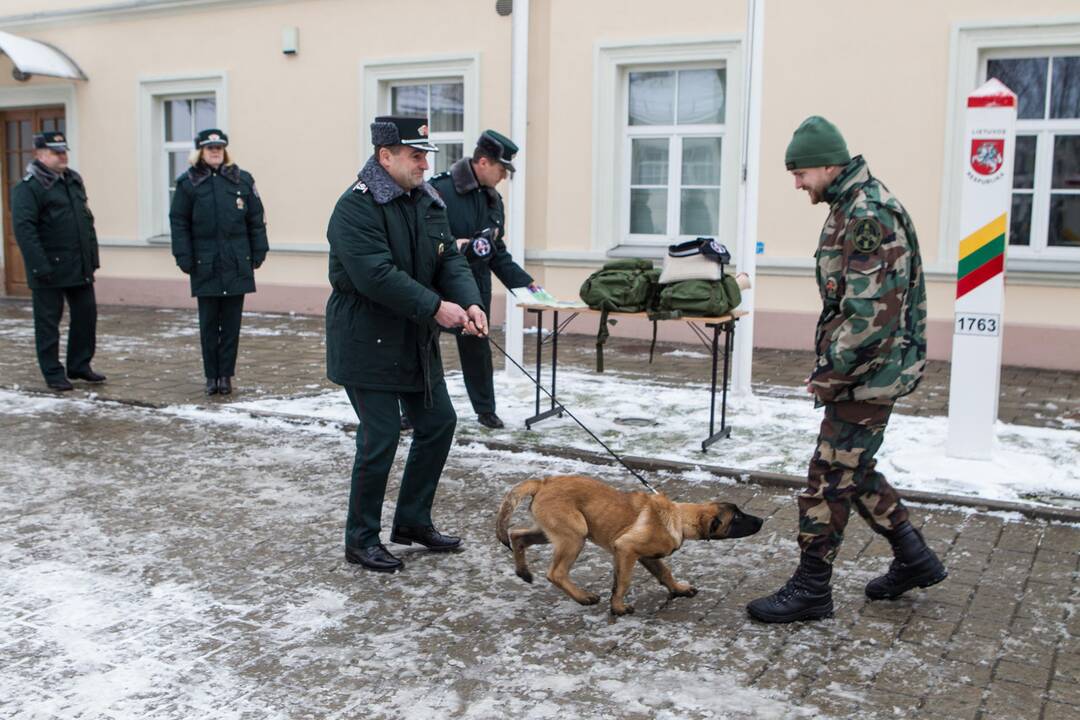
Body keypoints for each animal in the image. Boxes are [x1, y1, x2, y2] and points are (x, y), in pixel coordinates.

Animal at [494, 474, 764, 617]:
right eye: (737, 518)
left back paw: (524, 572)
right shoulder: (626, 549)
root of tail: (543, 482)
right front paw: (618, 608)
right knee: (556, 573)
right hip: (575, 535)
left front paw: (678, 589)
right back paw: (583, 597)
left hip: (551, 531)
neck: (678, 517)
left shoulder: (646, 556)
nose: (761, 521)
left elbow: (664, 573)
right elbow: (623, 582)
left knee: (517, 535)